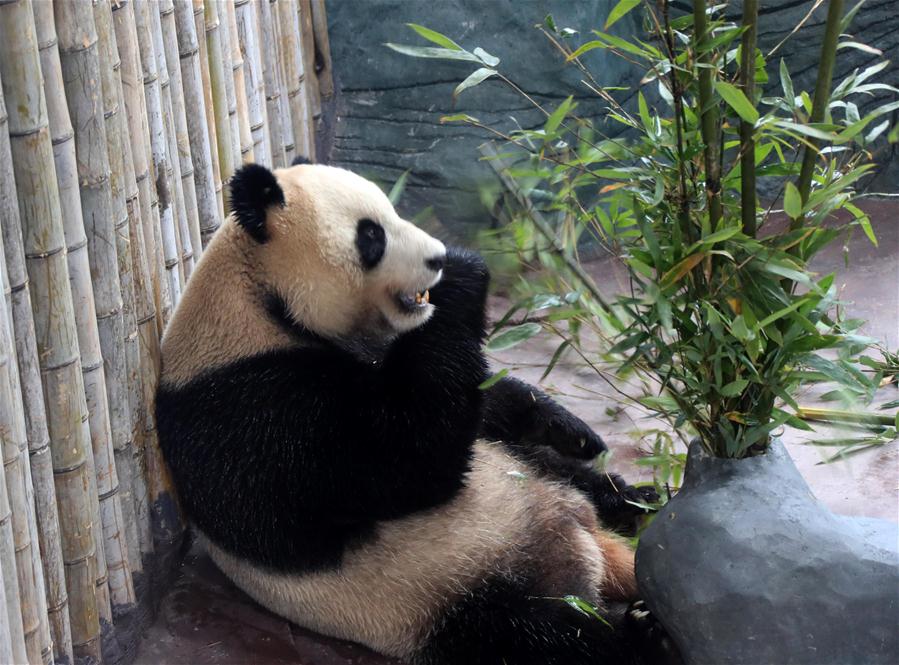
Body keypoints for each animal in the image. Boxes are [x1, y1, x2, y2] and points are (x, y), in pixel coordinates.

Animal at [156, 161, 676, 664]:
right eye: (372, 235)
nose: (437, 259)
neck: (259, 303)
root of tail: (585, 544)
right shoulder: (251, 407)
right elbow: (407, 461)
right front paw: (464, 275)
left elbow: (471, 399)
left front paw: (566, 426)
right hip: (444, 596)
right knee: (541, 636)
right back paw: (641, 630)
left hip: (523, 479)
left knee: (563, 476)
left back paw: (638, 501)